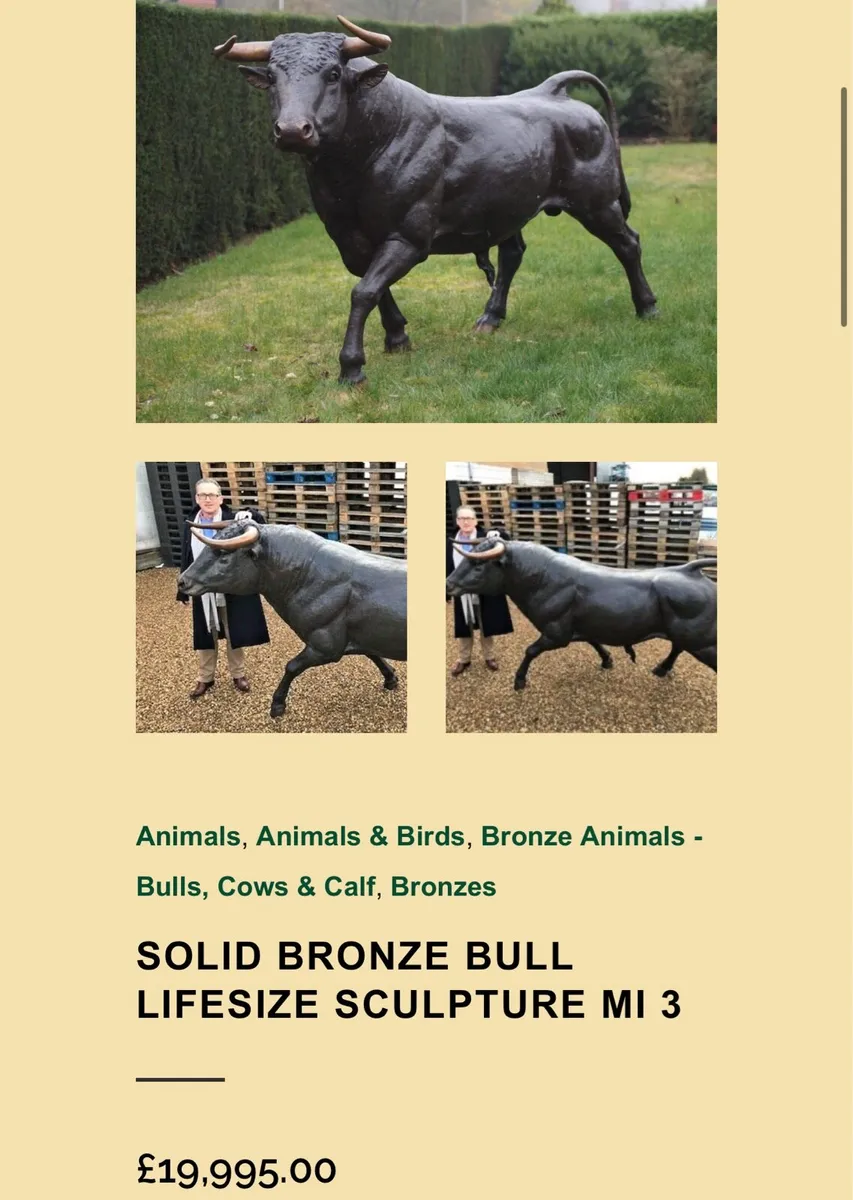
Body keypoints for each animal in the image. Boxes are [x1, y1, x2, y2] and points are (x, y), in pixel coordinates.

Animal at [178, 520, 406, 718]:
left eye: (223, 556)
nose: (182, 581)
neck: (306, 575)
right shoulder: (359, 636)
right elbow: (373, 654)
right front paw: (390, 678)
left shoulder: (325, 646)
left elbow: (291, 667)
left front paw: (277, 704)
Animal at [213, 16, 657, 384]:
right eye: (272, 76)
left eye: (334, 73)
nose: (292, 130)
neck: (355, 166)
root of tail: (553, 92)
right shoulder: (347, 237)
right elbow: (372, 285)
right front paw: (397, 337)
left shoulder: (409, 235)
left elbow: (364, 291)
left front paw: (352, 365)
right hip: (508, 208)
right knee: (513, 254)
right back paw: (490, 318)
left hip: (598, 203)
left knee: (628, 243)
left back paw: (648, 307)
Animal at [445, 537, 716, 691]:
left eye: (478, 565)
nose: (449, 584)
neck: (541, 579)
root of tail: (689, 570)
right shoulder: (582, 627)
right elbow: (594, 642)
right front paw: (607, 660)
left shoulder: (555, 633)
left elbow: (530, 650)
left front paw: (519, 681)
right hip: (688, 635)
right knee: (677, 647)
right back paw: (661, 669)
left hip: (703, 642)